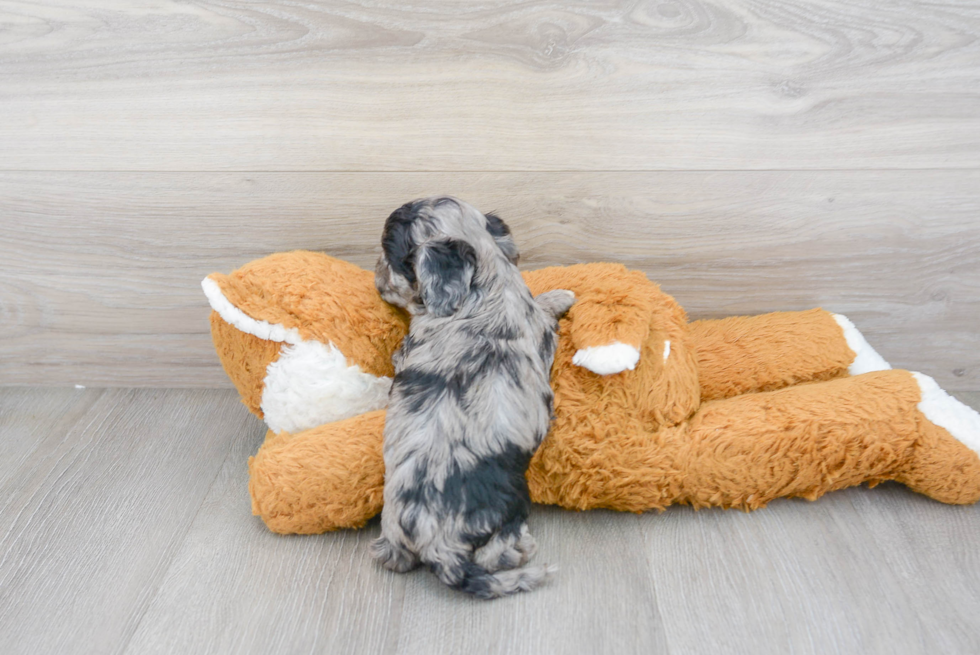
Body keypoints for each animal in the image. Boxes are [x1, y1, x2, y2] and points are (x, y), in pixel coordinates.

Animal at [374, 195, 576, 600]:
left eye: (390, 257)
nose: (375, 276)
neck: (482, 290)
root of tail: (437, 546)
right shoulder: (540, 331)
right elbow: (542, 311)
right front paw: (560, 297)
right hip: (513, 499)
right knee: (494, 554)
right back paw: (522, 550)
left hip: (393, 537)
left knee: (393, 558)